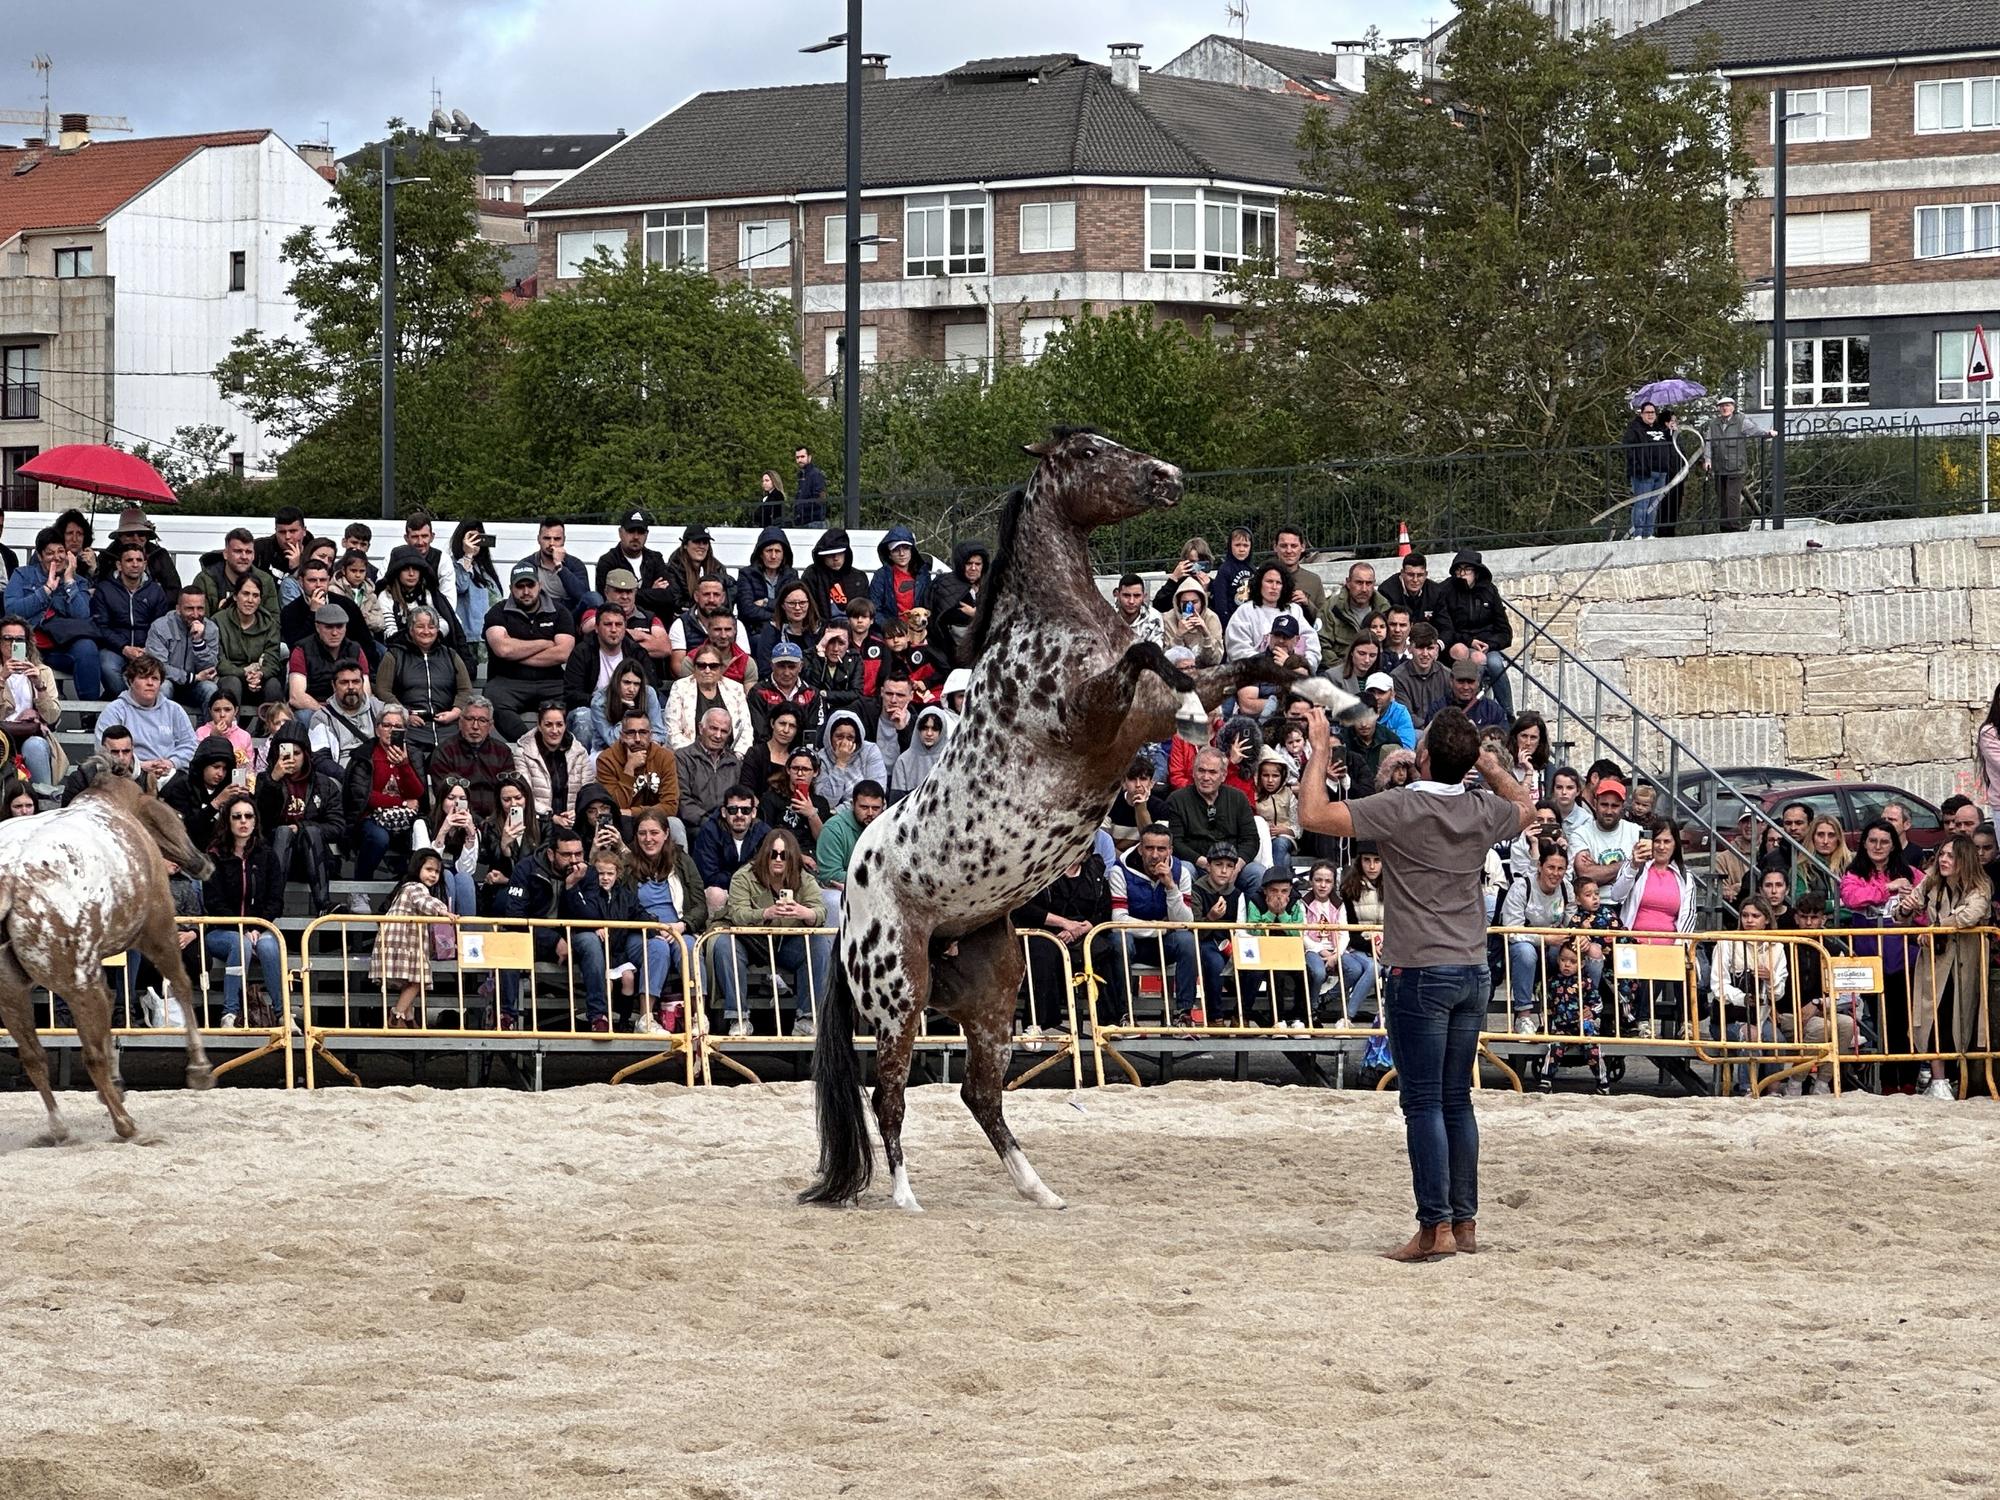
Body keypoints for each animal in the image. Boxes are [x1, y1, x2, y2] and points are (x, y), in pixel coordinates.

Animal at [0, 768, 217, 1144]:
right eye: (177, 815)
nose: (203, 864)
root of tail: (10, 879)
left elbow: (115, 997)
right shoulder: (158, 928)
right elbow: (181, 985)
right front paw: (199, 1068)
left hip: (12, 991)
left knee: (34, 1056)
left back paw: (61, 1127)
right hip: (77, 985)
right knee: (92, 1056)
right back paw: (127, 1125)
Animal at [800, 428, 1360, 1216]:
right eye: (1092, 454)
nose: (1170, 476)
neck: (1059, 623)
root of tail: (851, 900)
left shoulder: (1143, 712)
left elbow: (1256, 664)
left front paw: (1336, 699)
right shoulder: (1095, 717)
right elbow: (1156, 651)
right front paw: (1201, 708)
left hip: (992, 991)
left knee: (981, 1095)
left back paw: (1041, 1191)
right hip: (898, 994)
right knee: (890, 1096)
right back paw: (908, 1198)